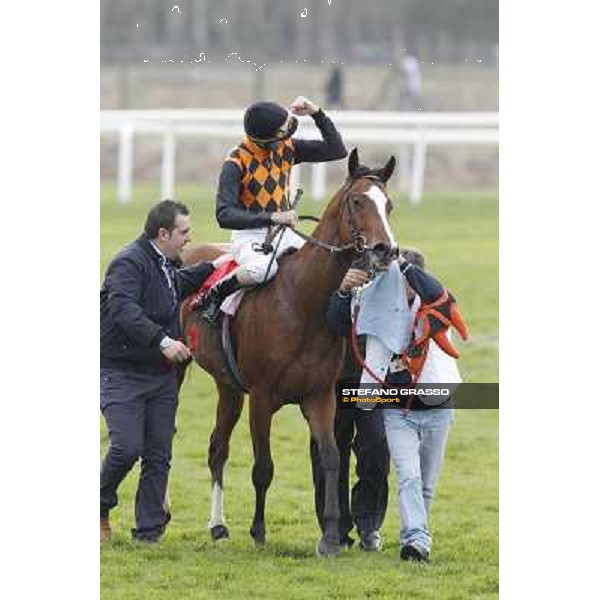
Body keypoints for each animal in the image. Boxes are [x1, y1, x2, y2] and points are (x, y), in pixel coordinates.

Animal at [180, 148, 400, 556]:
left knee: (218, 447)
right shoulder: (262, 397)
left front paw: (330, 537)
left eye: (389, 204)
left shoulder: (320, 396)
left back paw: (218, 526)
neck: (303, 303)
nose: (385, 250)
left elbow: (331, 457)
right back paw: (213, 523)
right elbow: (263, 467)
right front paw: (259, 531)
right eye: (358, 202)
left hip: (228, 386)